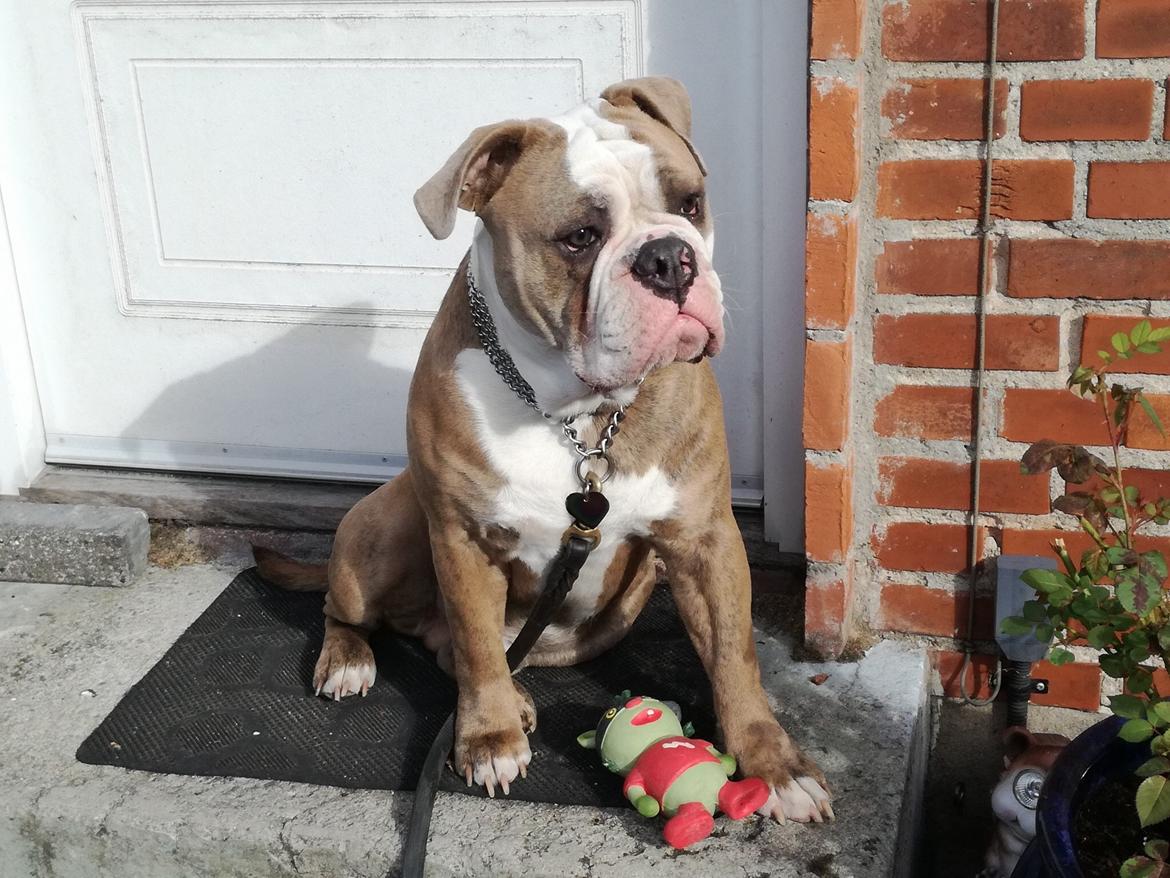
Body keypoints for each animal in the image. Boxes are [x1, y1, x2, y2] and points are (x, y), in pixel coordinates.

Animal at [258, 79, 833, 828]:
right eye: (579, 238)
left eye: (690, 204)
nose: (668, 259)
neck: (576, 415)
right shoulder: (464, 538)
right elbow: (478, 646)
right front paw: (490, 738)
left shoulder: (705, 540)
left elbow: (735, 657)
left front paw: (774, 764)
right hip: (385, 525)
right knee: (356, 612)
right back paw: (357, 662)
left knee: (453, 648)